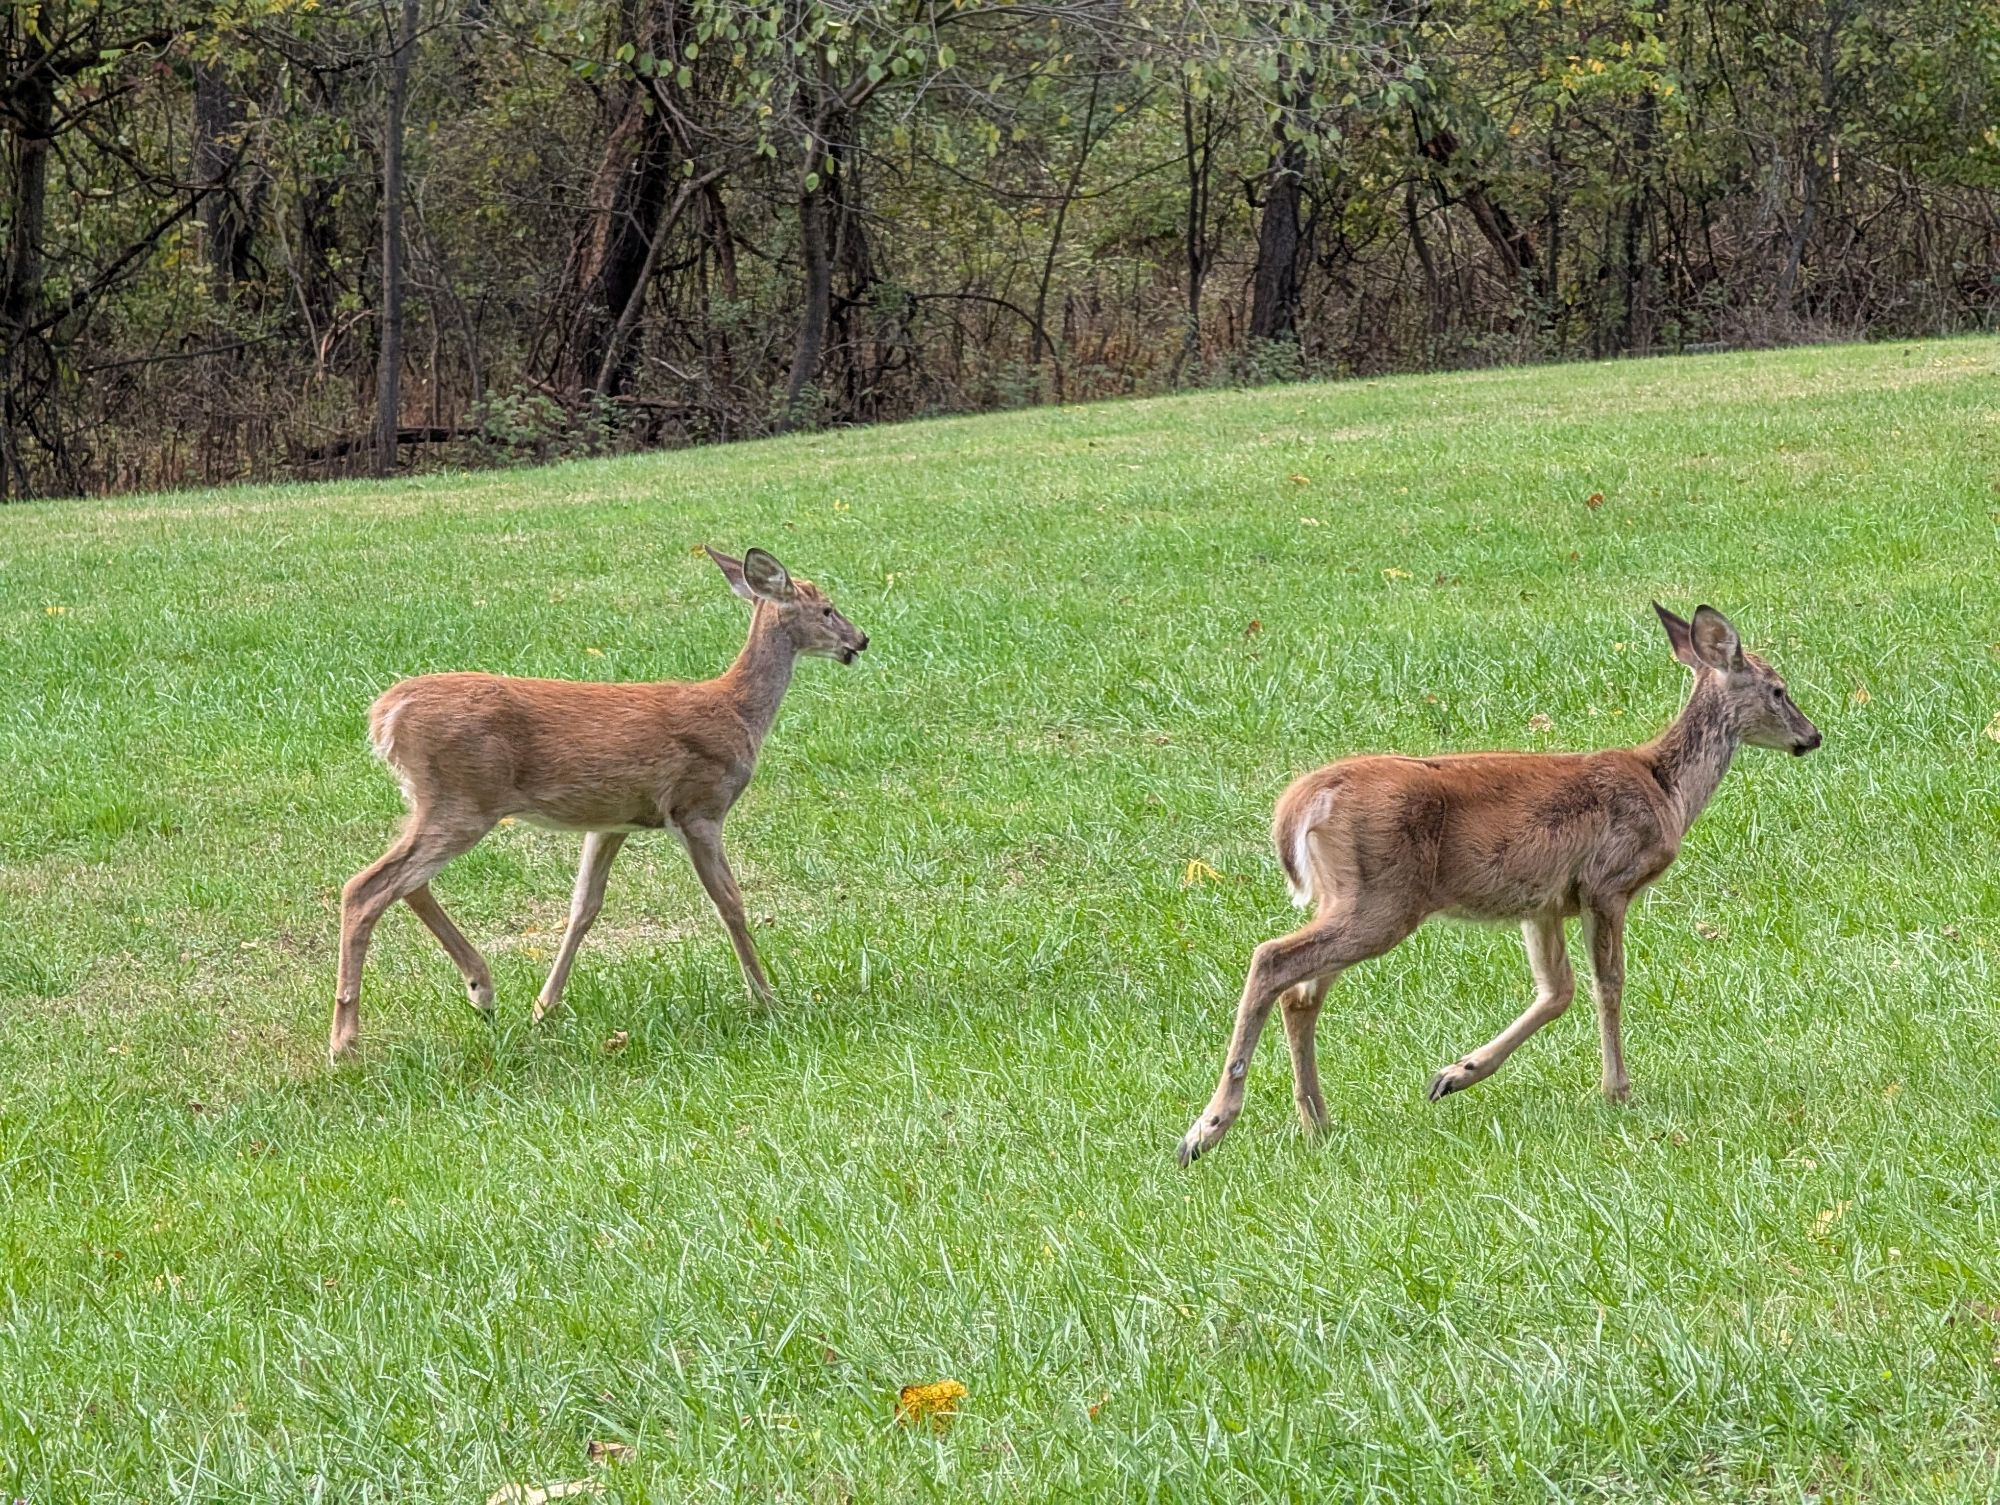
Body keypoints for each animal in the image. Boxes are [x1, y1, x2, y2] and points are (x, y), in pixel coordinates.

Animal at [324, 548, 864, 1056]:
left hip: (437, 801)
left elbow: (584, 906)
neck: (738, 712)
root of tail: (384, 715)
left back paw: (482, 989)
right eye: (827, 609)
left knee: (406, 883)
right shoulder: (699, 806)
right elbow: (729, 902)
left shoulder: (611, 822)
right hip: (462, 799)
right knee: (366, 887)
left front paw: (544, 1008)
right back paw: (345, 1042)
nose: (861, 640)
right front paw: (769, 1000)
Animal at [1176, 604, 1824, 1168]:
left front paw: (1453, 1075)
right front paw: (1617, 1090)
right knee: (1272, 959)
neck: (1667, 790)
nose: (1812, 736)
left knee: (1300, 992)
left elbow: (1557, 990)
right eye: (1778, 688)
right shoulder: (1607, 882)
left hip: (1353, 897)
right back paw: (1207, 1130)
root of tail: (1301, 802)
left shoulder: (1544, 903)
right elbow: (1606, 985)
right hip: (1380, 900)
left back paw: (1315, 1121)